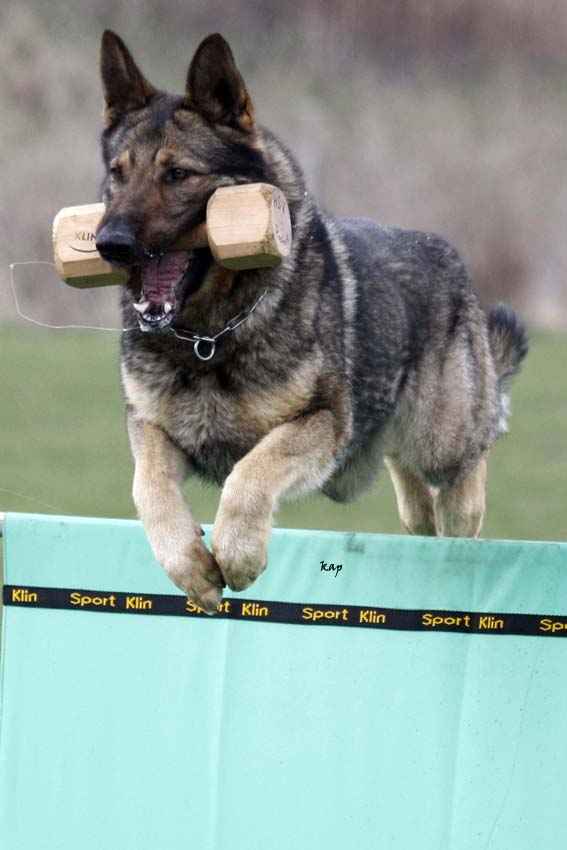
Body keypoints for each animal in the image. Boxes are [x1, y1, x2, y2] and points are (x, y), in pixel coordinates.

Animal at [96, 31, 528, 613]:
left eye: (178, 174)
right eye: (117, 174)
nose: (109, 244)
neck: (211, 336)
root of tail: (451, 258)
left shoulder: (319, 421)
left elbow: (250, 474)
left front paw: (238, 553)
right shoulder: (152, 428)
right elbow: (150, 490)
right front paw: (190, 566)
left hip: (441, 436)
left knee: (471, 457)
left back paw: (462, 519)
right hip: (360, 463)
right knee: (410, 488)